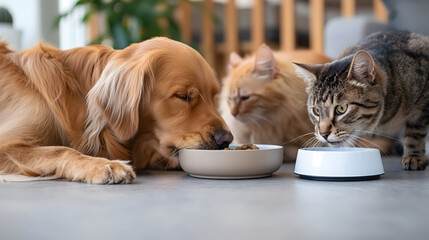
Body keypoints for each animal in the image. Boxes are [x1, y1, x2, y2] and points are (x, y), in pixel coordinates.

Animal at [0, 37, 231, 184]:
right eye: (183, 96)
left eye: (214, 96)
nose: (226, 139)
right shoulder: (7, 144)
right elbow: (61, 149)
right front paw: (104, 165)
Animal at [294, 31, 428, 171]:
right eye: (316, 111)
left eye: (341, 108)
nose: (323, 134)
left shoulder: (422, 104)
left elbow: (415, 133)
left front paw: (414, 156)